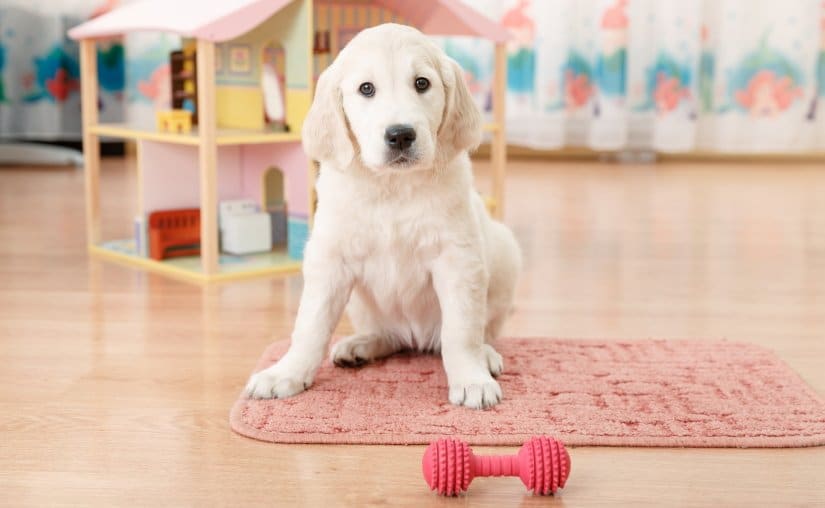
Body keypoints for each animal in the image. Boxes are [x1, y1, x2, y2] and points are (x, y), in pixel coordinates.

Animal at [243, 23, 520, 410]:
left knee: (482, 330)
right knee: (388, 335)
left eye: (422, 83)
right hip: (363, 305)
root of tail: (418, 338)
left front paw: (471, 377)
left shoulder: (458, 259)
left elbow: (461, 330)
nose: (400, 135)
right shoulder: (330, 259)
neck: (391, 186)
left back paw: (487, 355)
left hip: (505, 253)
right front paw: (287, 372)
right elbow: (310, 325)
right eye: (366, 89)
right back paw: (361, 345)